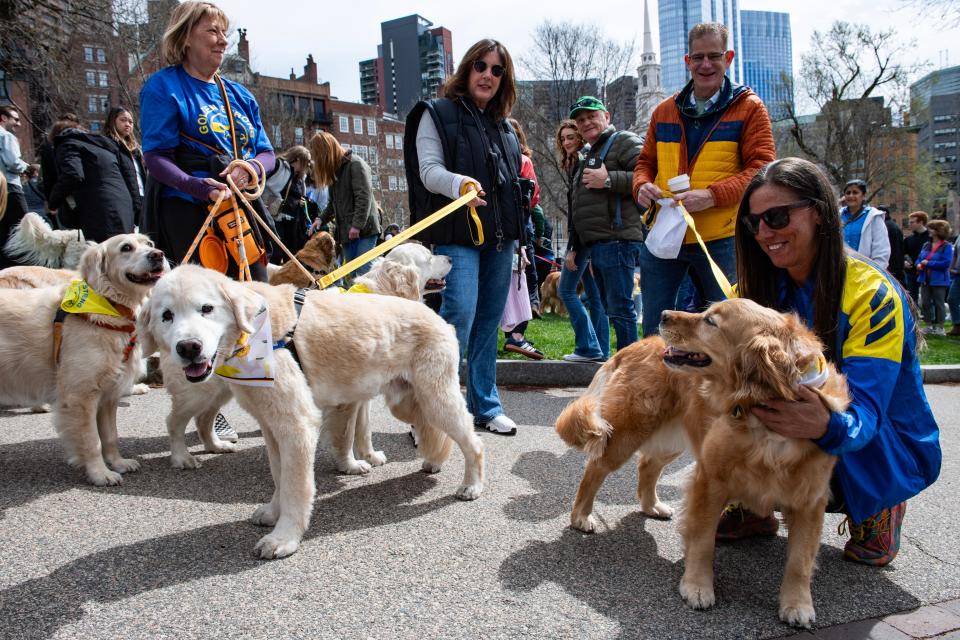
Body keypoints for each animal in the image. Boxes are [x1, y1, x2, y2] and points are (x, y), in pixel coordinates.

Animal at [0, 235, 167, 484]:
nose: (158, 254)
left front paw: (118, 463)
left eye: (149, 243)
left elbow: (110, 435)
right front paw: (100, 474)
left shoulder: (108, 395)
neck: (109, 306)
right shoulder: (81, 395)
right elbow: (92, 440)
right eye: (126, 247)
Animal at [660, 302, 848, 632]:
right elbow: (702, 540)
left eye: (710, 321)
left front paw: (798, 604)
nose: (662, 315)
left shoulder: (810, 499)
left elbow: (799, 561)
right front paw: (697, 585)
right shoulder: (709, 480)